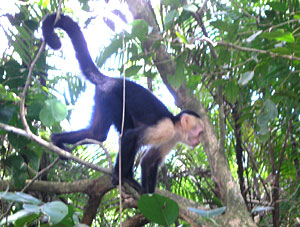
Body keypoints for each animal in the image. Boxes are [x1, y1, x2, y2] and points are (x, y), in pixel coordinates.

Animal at [41, 13, 204, 193]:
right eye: (199, 132)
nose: (198, 141)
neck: (176, 126)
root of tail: (109, 79)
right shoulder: (165, 129)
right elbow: (130, 136)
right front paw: (119, 177)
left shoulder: (171, 139)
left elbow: (149, 161)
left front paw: (148, 196)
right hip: (110, 95)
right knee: (125, 131)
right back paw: (125, 177)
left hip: (101, 98)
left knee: (96, 133)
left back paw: (56, 140)